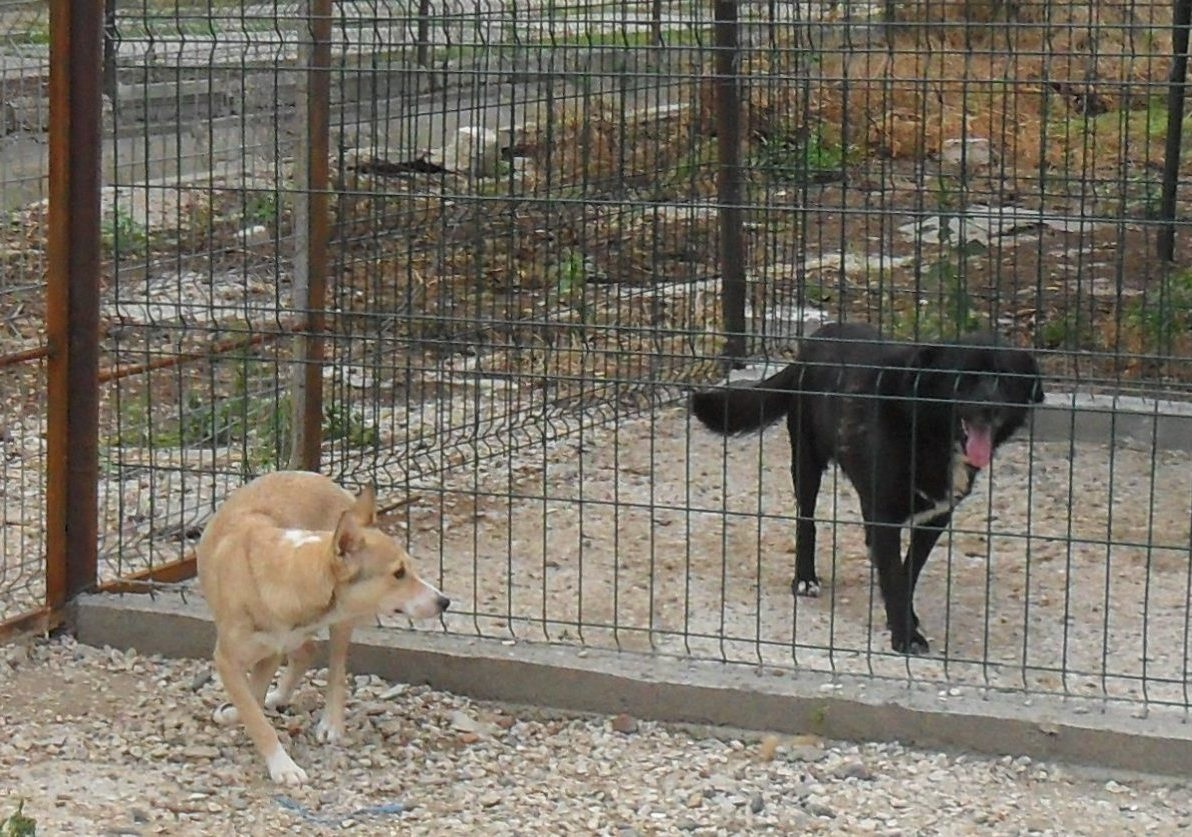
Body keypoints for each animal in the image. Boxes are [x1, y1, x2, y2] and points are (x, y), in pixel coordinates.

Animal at [196, 470, 450, 784]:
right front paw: (280, 762)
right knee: (306, 652)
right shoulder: (231, 659)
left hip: (341, 623)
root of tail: (317, 477)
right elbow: (254, 709)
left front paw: (279, 761)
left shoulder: (271, 652)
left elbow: (254, 699)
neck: (289, 572)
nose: (445, 602)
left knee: (335, 670)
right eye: (399, 573)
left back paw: (329, 722)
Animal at [691, 322, 1043, 655]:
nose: (990, 406)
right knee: (806, 521)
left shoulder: (936, 516)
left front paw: (903, 616)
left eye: (1007, 378)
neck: (924, 425)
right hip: (806, 461)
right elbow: (894, 574)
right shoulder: (886, 514)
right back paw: (805, 577)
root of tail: (816, 339)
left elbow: (907, 571)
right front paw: (906, 635)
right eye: (964, 377)